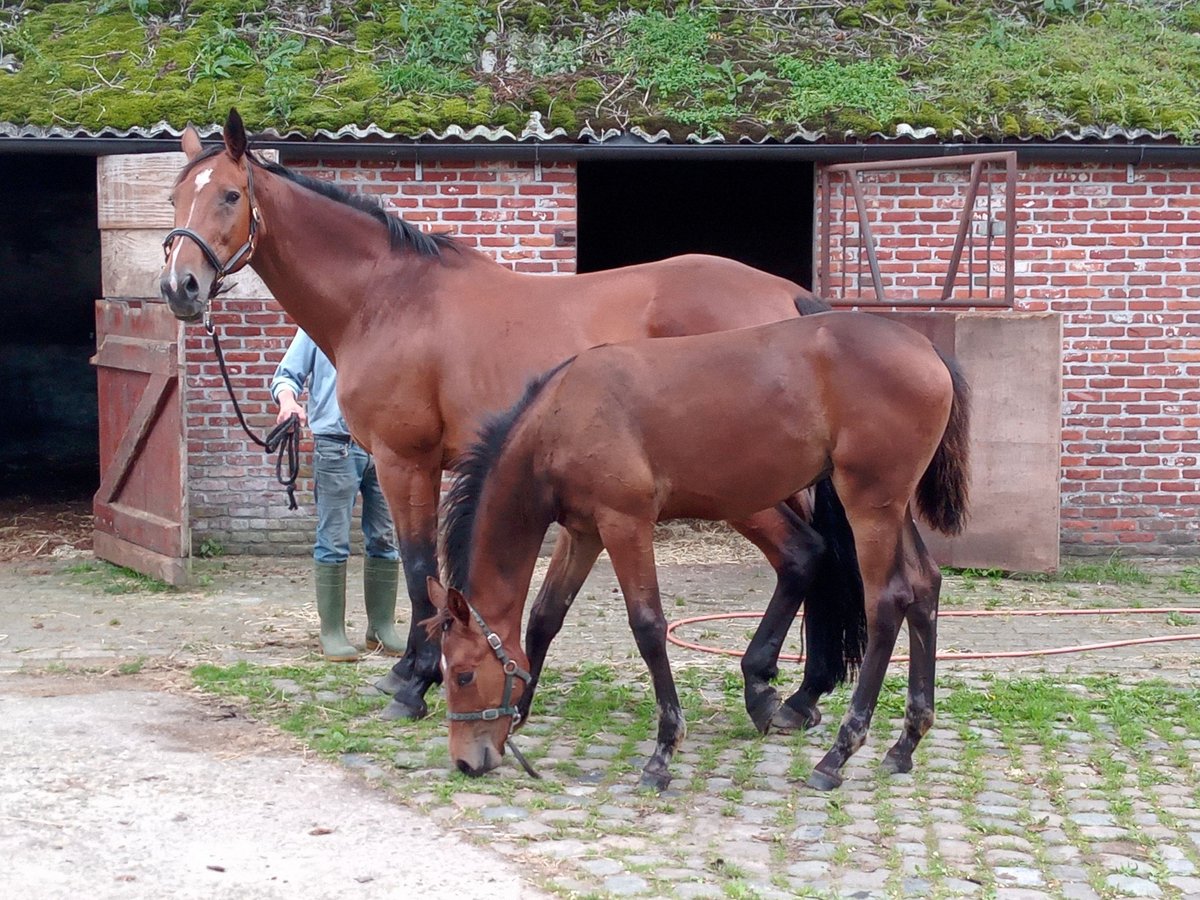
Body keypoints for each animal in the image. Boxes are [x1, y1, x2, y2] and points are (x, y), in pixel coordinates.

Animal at [159, 107, 859, 724]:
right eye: (174, 199)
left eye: (229, 196)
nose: (179, 287)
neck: (387, 298)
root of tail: (786, 298)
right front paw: (415, 671)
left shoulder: (405, 461)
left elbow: (421, 568)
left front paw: (415, 681)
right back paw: (795, 692)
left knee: (801, 553)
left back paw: (769, 687)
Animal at [427, 314, 969, 792]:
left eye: (464, 674)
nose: (467, 761)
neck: (563, 415)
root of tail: (927, 348)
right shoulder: (583, 533)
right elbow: (545, 616)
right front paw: (521, 710)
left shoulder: (625, 524)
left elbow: (648, 627)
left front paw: (663, 751)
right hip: (893, 510)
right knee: (924, 587)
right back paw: (904, 744)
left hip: (870, 506)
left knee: (887, 602)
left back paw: (837, 754)